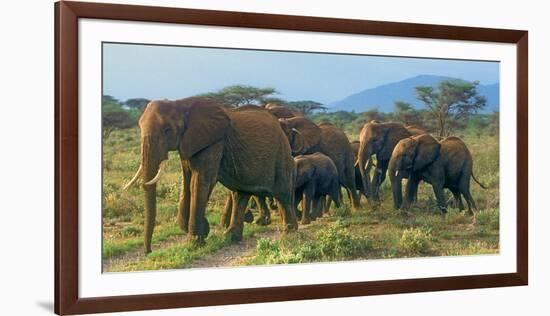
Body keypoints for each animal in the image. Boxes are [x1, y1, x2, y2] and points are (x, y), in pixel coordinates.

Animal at [124, 97, 300, 253]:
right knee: (240, 195)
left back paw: (290, 233)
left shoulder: (213, 143)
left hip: (282, 154)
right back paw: (231, 237)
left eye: (167, 130)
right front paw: (201, 230)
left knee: (282, 193)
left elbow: (202, 181)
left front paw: (195, 242)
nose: (148, 251)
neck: (181, 103)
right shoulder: (188, 144)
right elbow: (186, 181)